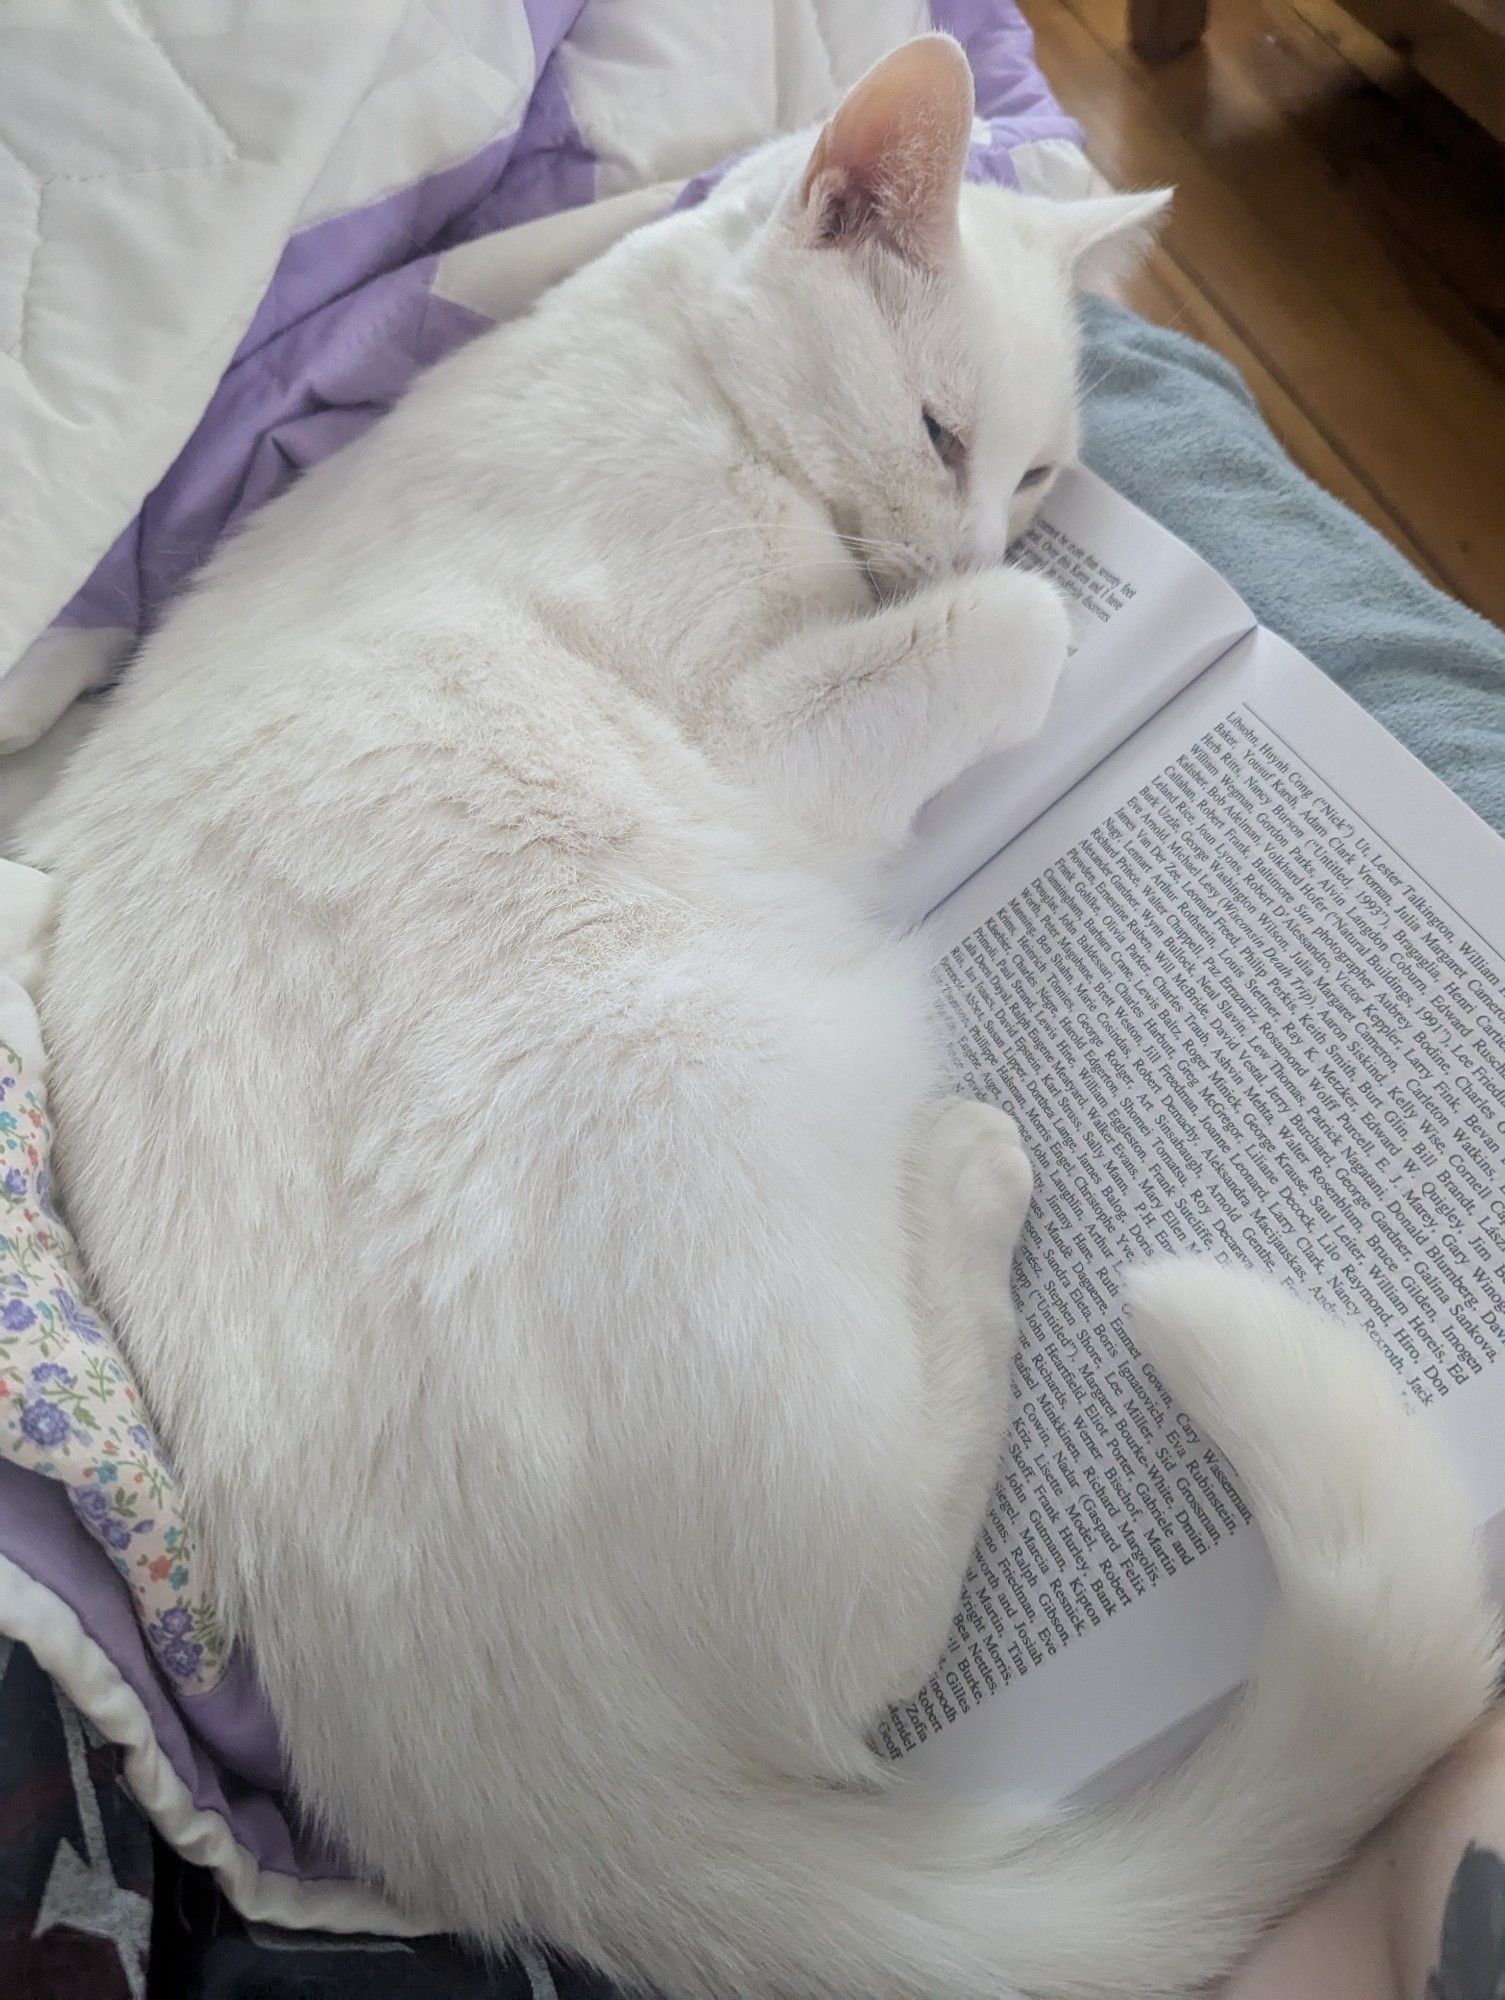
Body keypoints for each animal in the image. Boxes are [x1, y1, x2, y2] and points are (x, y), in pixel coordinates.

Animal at [20, 35, 1496, 2000]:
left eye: (1039, 471)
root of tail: (496, 1808)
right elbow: (1017, 633)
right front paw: (1003, 615)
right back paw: (963, 1177)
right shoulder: (757, 720)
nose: (978, 535)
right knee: (863, 1634)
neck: (697, 389)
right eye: (946, 439)